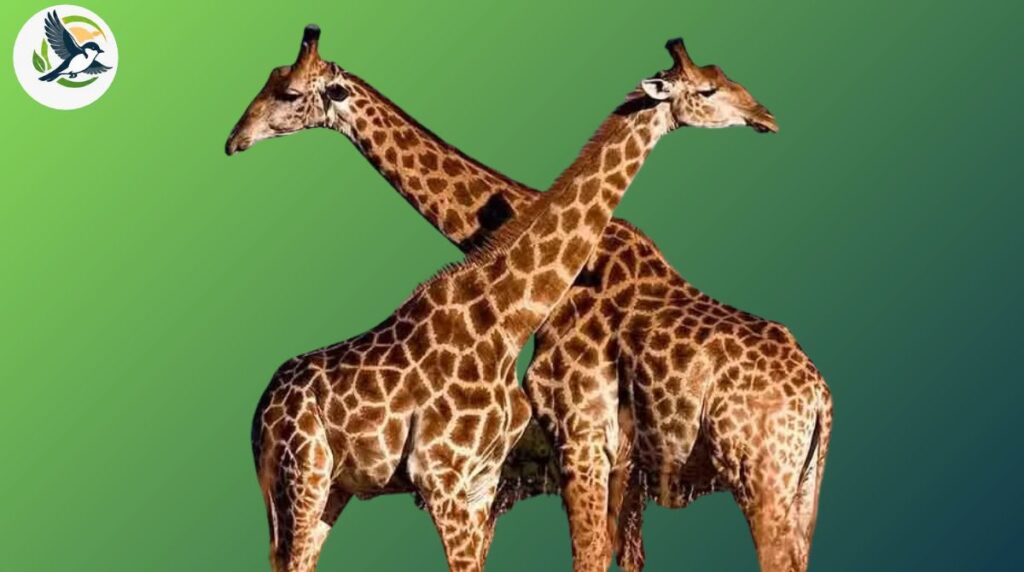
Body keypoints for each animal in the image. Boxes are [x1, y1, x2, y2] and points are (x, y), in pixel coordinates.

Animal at [227, 27, 827, 572]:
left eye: (287, 92)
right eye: (709, 88)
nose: (234, 139)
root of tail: (820, 397)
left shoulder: (568, 452)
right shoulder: (566, 462)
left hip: (769, 478)